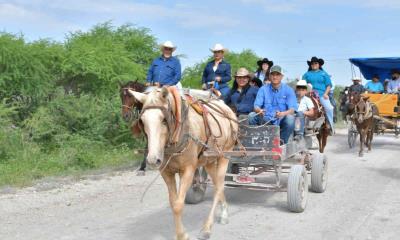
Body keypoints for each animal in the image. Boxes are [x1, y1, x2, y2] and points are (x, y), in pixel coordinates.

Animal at [128, 86, 238, 240]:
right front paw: (181, 233)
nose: (153, 159)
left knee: (219, 187)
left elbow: (179, 205)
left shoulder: (188, 170)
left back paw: (207, 228)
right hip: (209, 160)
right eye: (142, 121)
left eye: (164, 120)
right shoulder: (166, 172)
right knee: (218, 184)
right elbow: (173, 203)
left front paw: (182, 235)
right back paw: (224, 213)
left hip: (225, 155)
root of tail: (226, 107)